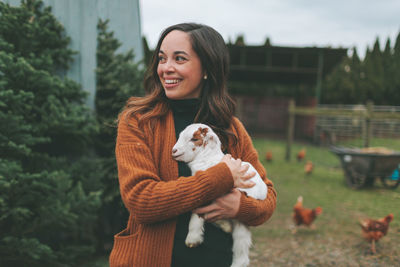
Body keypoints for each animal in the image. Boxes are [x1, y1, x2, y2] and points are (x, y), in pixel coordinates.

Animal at [171, 123, 268, 267]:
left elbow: (196, 215)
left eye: (194, 139)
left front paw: (192, 240)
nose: (174, 151)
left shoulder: (209, 193)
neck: (207, 159)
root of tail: (263, 192)